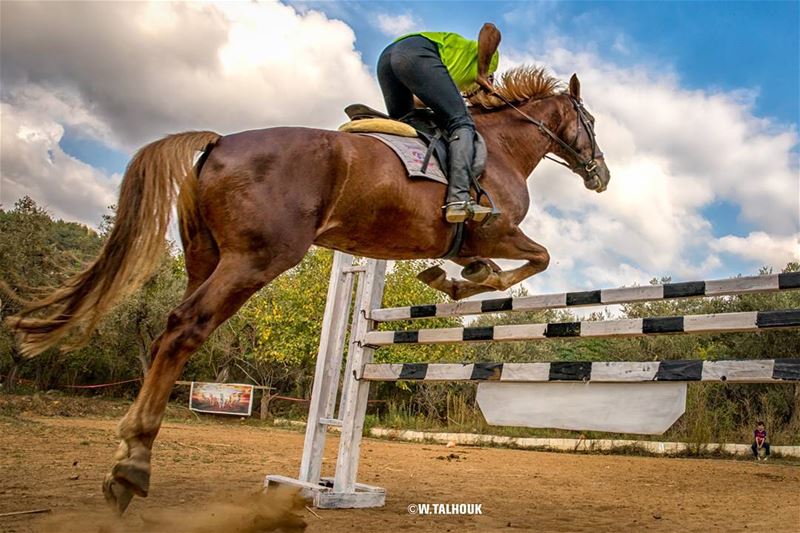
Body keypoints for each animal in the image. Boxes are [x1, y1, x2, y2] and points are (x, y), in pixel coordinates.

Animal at [4, 66, 612, 512]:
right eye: (591, 120)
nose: (602, 175)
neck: (502, 146)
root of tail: (219, 142)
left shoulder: (468, 241)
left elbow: (488, 263)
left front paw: (451, 278)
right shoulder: (498, 229)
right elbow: (538, 257)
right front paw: (471, 283)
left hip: (206, 258)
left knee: (164, 335)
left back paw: (130, 455)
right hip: (255, 261)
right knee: (183, 330)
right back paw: (132, 467)